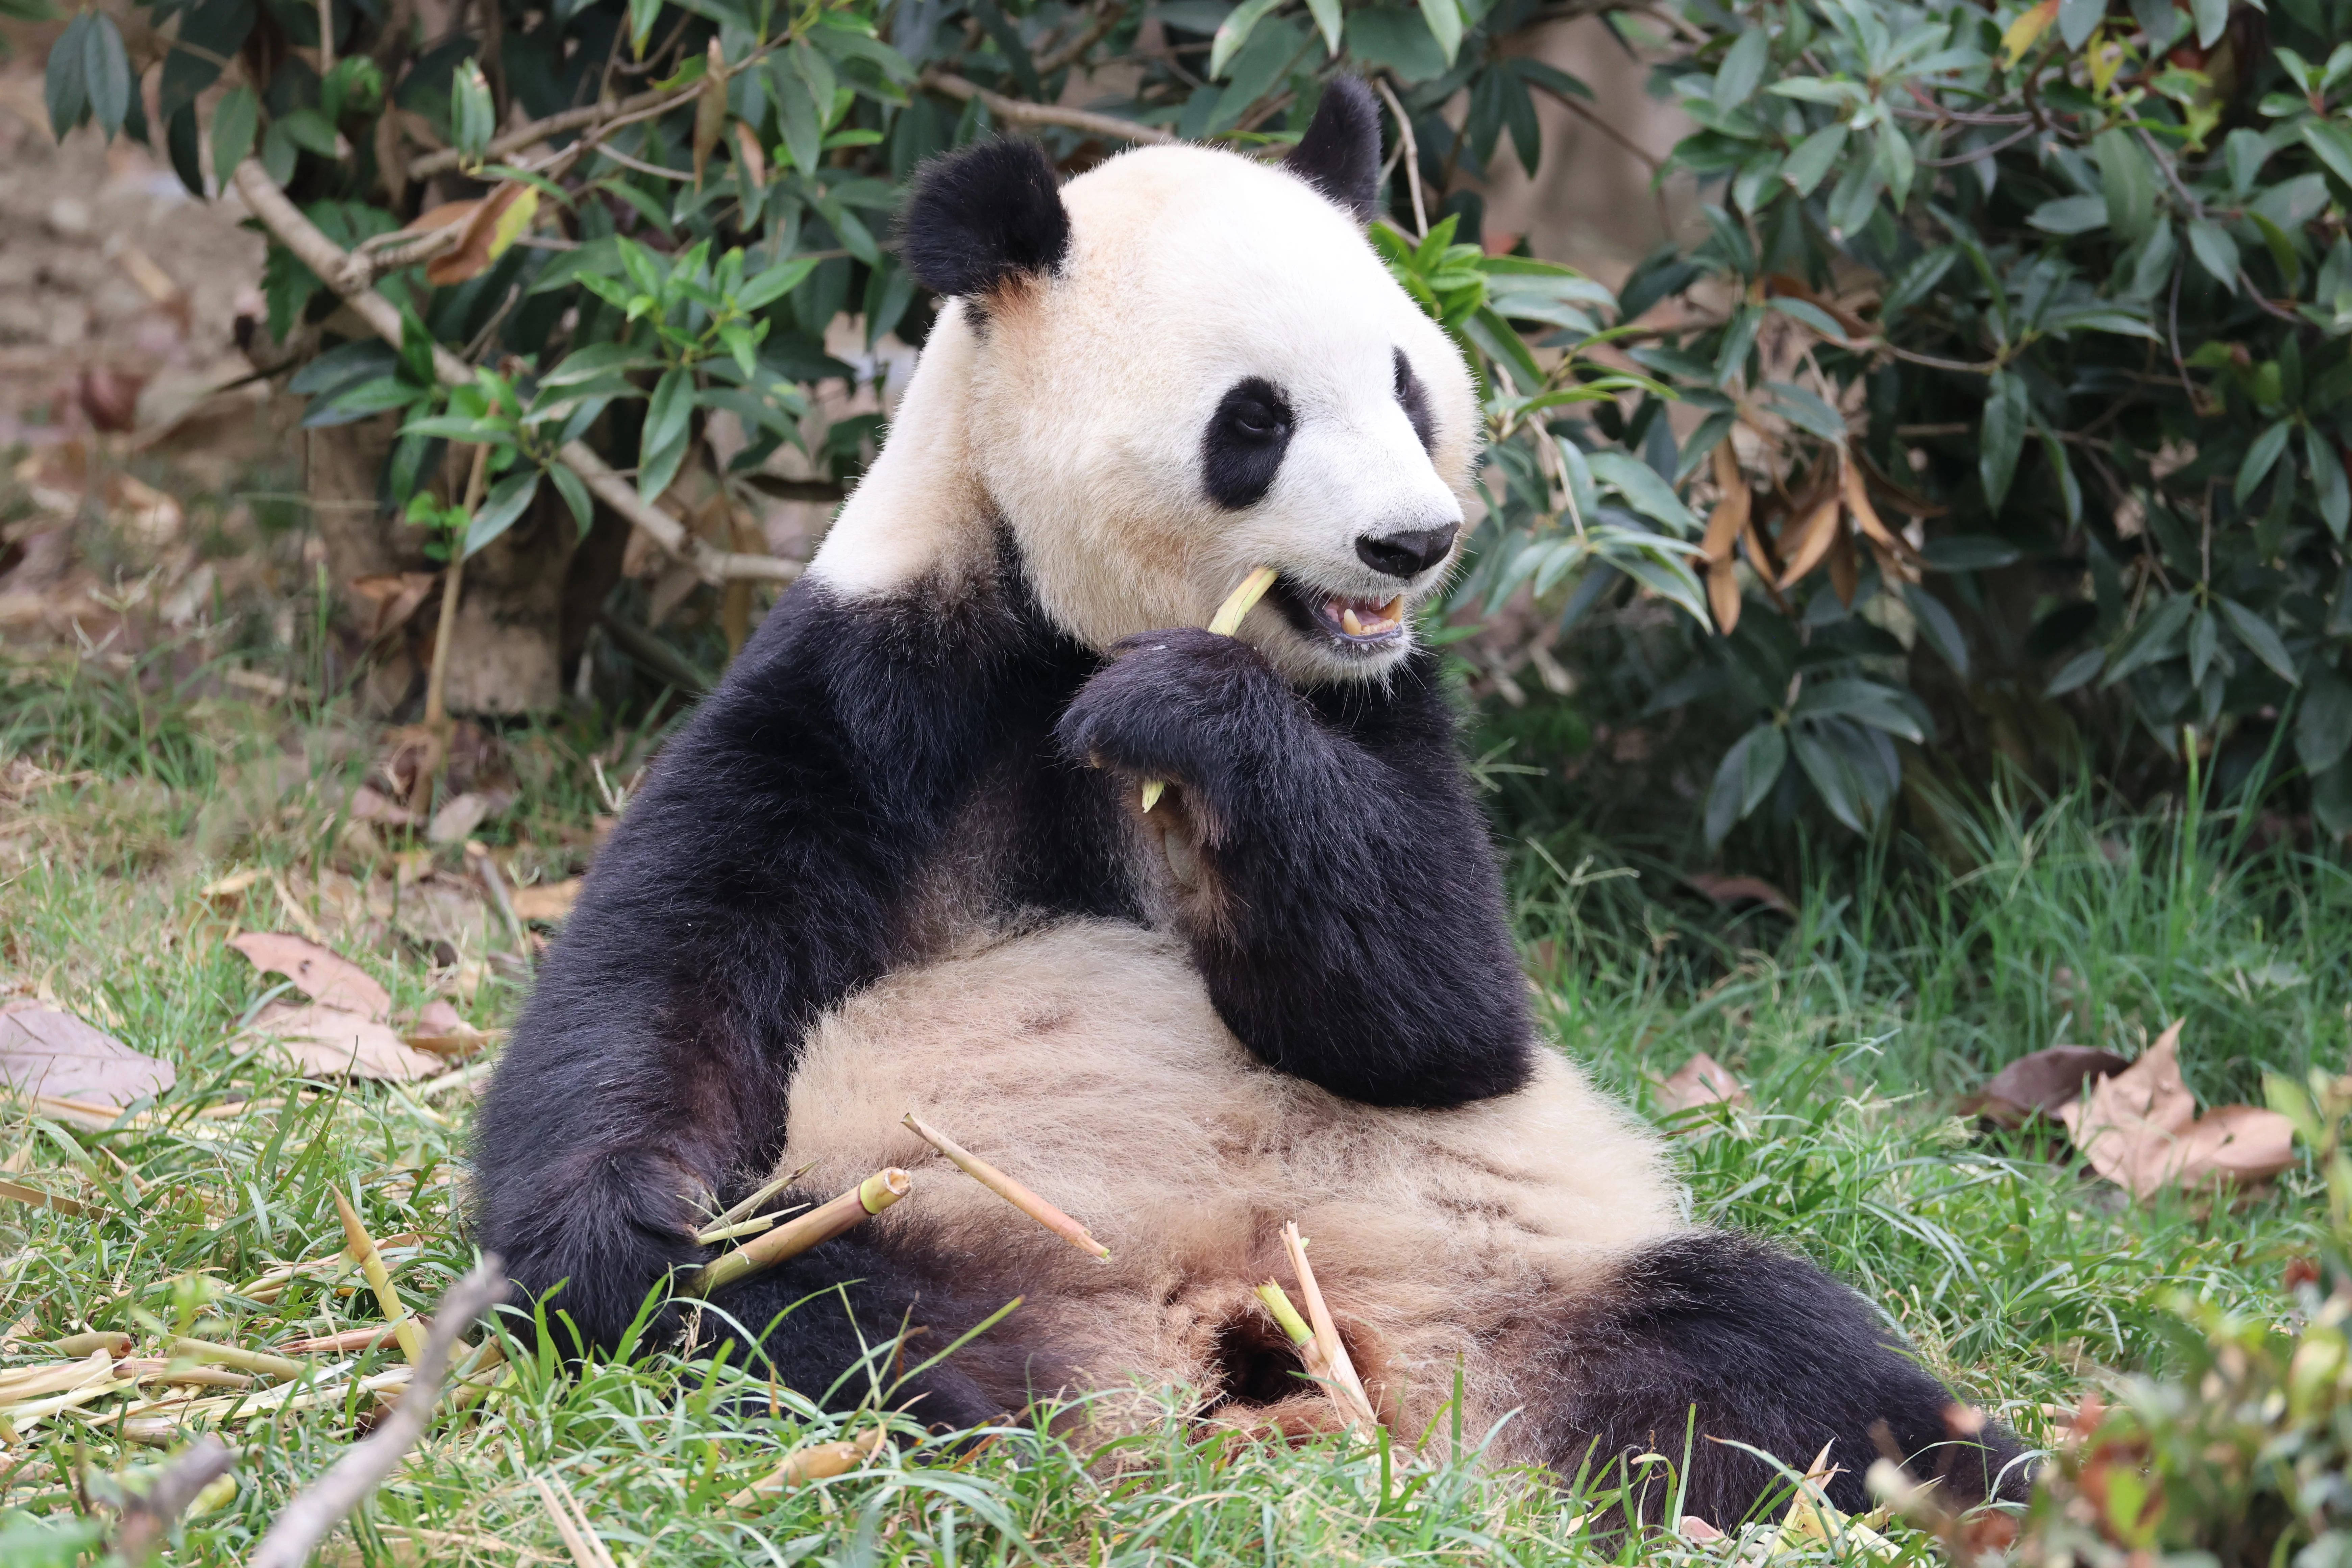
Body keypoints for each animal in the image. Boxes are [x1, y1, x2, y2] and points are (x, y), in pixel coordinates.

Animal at [474, 78, 2030, 1526]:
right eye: (1257, 417)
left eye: (1406, 384)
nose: (1414, 541)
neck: (1075, 630)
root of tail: (1261, 1342)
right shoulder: (876, 675)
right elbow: (676, 960)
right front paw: (620, 1220)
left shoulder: (1390, 710)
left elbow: (1441, 1016)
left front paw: (1194, 714)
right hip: (932, 1217)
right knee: (803, 1315)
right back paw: (973, 1425)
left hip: (1520, 1270)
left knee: (1772, 1351)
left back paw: (1980, 1486)